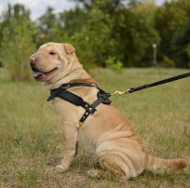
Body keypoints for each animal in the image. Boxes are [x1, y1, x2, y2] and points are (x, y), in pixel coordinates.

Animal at [29, 42, 188, 181]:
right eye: (38, 50)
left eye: (52, 53)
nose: (31, 59)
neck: (71, 80)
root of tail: (146, 157)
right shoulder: (73, 129)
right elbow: (73, 148)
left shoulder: (68, 124)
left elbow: (68, 148)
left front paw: (62, 167)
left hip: (105, 147)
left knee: (121, 176)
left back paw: (95, 173)